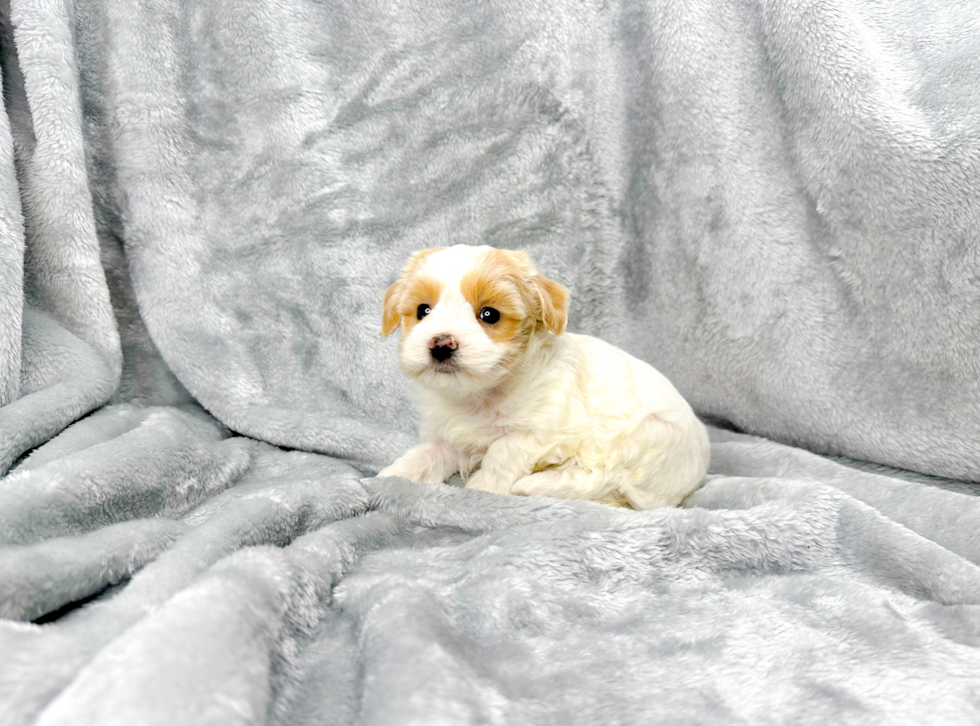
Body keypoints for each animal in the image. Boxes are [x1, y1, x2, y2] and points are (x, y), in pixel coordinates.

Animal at [378, 247, 708, 510]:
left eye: (489, 314)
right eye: (423, 310)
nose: (441, 344)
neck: (480, 396)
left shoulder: (541, 431)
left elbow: (502, 453)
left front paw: (483, 488)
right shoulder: (447, 434)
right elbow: (425, 455)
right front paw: (390, 478)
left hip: (650, 434)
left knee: (605, 478)